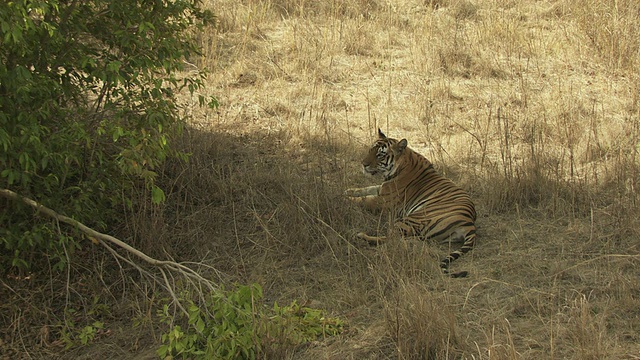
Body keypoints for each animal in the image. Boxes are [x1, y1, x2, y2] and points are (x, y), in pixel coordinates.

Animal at [344, 129, 476, 278]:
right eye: (370, 150)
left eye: (380, 155)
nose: (363, 164)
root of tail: (469, 223)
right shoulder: (381, 189)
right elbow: (365, 189)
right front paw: (348, 190)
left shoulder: (382, 201)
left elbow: (362, 199)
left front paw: (345, 198)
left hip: (412, 218)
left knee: (392, 239)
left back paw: (361, 236)